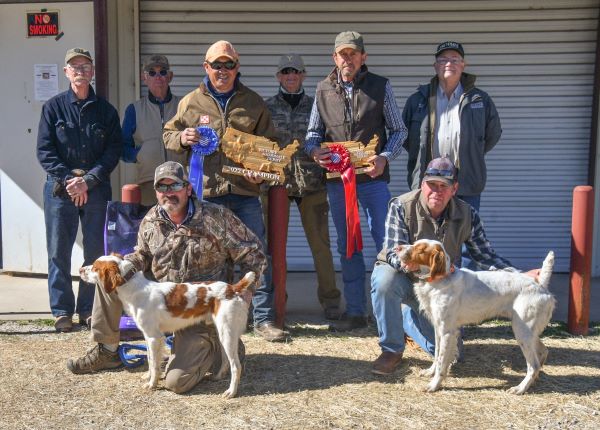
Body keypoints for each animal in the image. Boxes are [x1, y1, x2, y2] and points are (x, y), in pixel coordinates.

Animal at [80, 254, 255, 398]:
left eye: (95, 268)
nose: (80, 270)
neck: (133, 288)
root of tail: (232, 288)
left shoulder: (154, 337)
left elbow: (154, 363)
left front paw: (152, 384)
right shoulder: (149, 336)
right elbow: (151, 359)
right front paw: (149, 377)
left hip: (227, 332)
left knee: (236, 365)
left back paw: (231, 392)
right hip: (223, 333)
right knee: (226, 360)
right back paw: (218, 377)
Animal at [396, 239, 556, 394]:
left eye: (420, 249)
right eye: (414, 243)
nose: (397, 248)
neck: (441, 280)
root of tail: (540, 286)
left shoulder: (447, 331)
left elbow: (442, 361)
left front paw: (434, 385)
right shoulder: (438, 328)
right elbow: (436, 354)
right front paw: (430, 372)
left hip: (522, 331)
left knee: (533, 365)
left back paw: (520, 388)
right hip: (527, 332)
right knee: (543, 352)